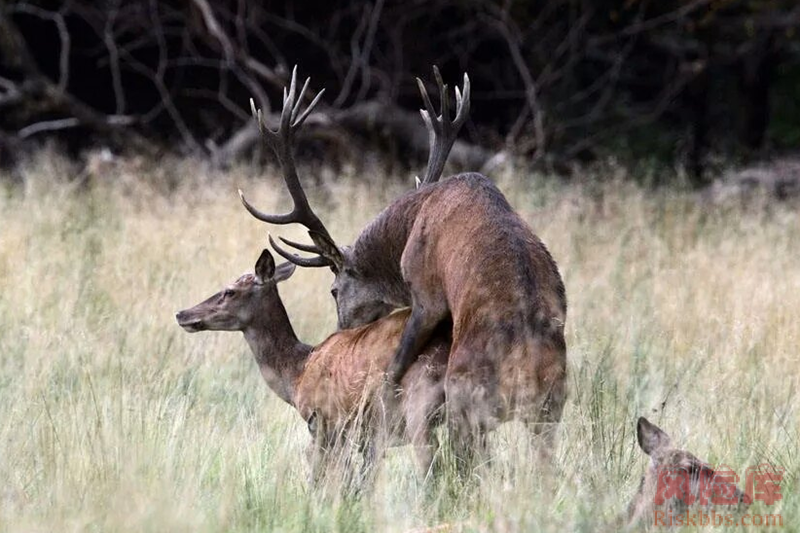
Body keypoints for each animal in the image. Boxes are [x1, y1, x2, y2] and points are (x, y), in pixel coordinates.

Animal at [239, 67, 568, 466]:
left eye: (333, 290)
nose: (340, 337)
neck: (409, 227)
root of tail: (526, 368)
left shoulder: (424, 289)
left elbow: (397, 361)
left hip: (467, 396)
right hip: (551, 405)